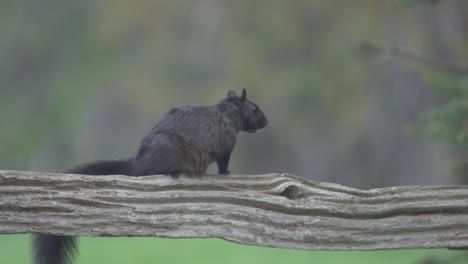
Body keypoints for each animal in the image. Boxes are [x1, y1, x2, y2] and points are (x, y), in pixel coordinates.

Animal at [33, 89, 266, 264]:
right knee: (145, 172)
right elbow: (224, 160)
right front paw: (226, 172)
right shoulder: (226, 143)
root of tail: (135, 162)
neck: (229, 110)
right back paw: (171, 171)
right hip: (169, 149)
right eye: (254, 108)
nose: (266, 122)